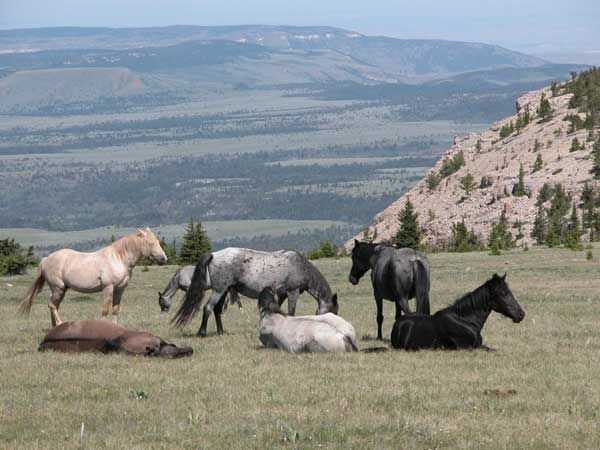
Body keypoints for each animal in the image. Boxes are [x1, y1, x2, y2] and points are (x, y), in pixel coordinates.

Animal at [19, 229, 168, 326]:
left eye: (157, 241)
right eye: (150, 243)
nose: (163, 259)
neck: (118, 259)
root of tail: (46, 259)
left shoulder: (120, 289)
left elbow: (116, 309)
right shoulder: (108, 288)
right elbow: (105, 310)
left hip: (59, 289)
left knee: (53, 305)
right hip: (58, 288)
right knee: (52, 305)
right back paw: (61, 324)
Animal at [171, 248, 338, 336]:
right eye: (333, 312)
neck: (301, 266)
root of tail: (214, 255)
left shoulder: (281, 294)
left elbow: (277, 309)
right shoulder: (293, 291)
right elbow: (291, 312)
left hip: (224, 290)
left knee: (217, 310)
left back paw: (221, 332)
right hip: (219, 290)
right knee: (208, 308)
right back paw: (202, 332)